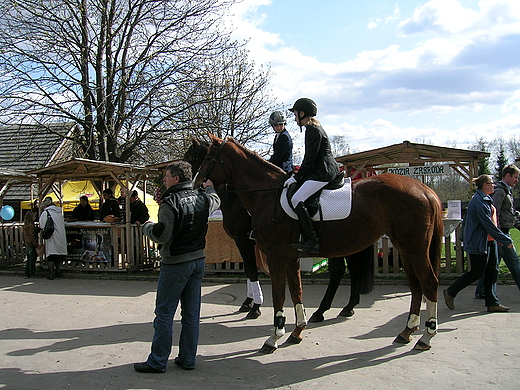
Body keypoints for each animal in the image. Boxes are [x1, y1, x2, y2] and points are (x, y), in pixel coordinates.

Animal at [195, 134, 442, 354]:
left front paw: (273, 336)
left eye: (207, 157)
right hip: (405, 250)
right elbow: (296, 292)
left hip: (414, 250)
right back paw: (406, 331)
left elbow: (278, 294)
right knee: (415, 285)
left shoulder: (274, 256)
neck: (266, 194)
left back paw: (426, 336)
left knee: (428, 283)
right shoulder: (290, 257)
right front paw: (297, 331)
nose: (197, 183)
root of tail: (424, 189)